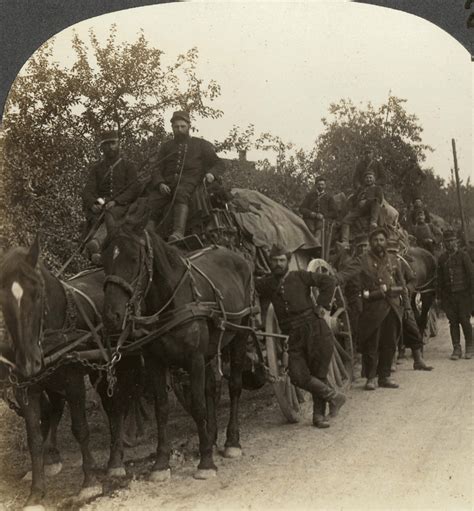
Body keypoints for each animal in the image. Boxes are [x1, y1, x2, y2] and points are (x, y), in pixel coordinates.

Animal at [0, 238, 141, 510]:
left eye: (37, 294)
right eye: (1, 300)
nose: (29, 362)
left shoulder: (74, 381)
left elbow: (80, 429)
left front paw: (88, 483)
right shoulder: (27, 389)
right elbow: (34, 437)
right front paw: (36, 492)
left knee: (119, 404)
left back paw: (116, 460)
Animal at [102, 203, 254, 480]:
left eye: (133, 258)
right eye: (103, 260)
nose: (111, 316)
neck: (171, 299)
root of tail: (234, 253)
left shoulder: (194, 359)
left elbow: (197, 404)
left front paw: (206, 461)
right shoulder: (155, 362)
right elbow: (162, 408)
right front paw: (161, 463)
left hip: (241, 333)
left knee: (235, 385)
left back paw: (232, 441)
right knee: (212, 389)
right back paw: (212, 436)